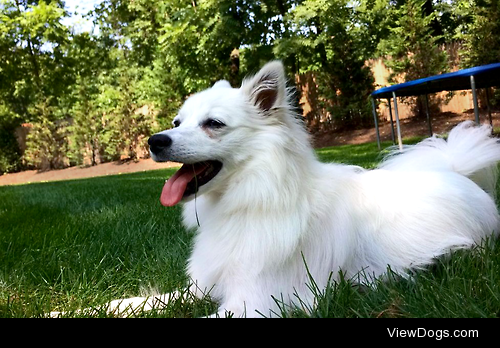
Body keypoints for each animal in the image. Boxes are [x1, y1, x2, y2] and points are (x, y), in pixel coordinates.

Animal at [121, 61, 500, 316]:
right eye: (177, 122)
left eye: (213, 124)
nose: (155, 141)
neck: (253, 201)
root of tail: (457, 173)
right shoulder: (204, 286)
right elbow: (161, 298)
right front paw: (120, 303)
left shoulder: (254, 302)